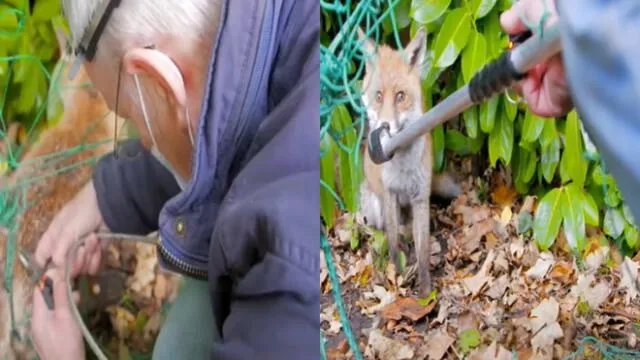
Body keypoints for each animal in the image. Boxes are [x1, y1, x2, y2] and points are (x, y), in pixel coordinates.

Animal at [358, 27, 458, 298]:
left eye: (400, 96)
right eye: (378, 97)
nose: (384, 126)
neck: (402, 168)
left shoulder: (420, 197)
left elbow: (422, 251)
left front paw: (425, 292)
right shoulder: (389, 193)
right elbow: (392, 241)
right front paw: (397, 274)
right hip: (374, 205)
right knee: (380, 229)